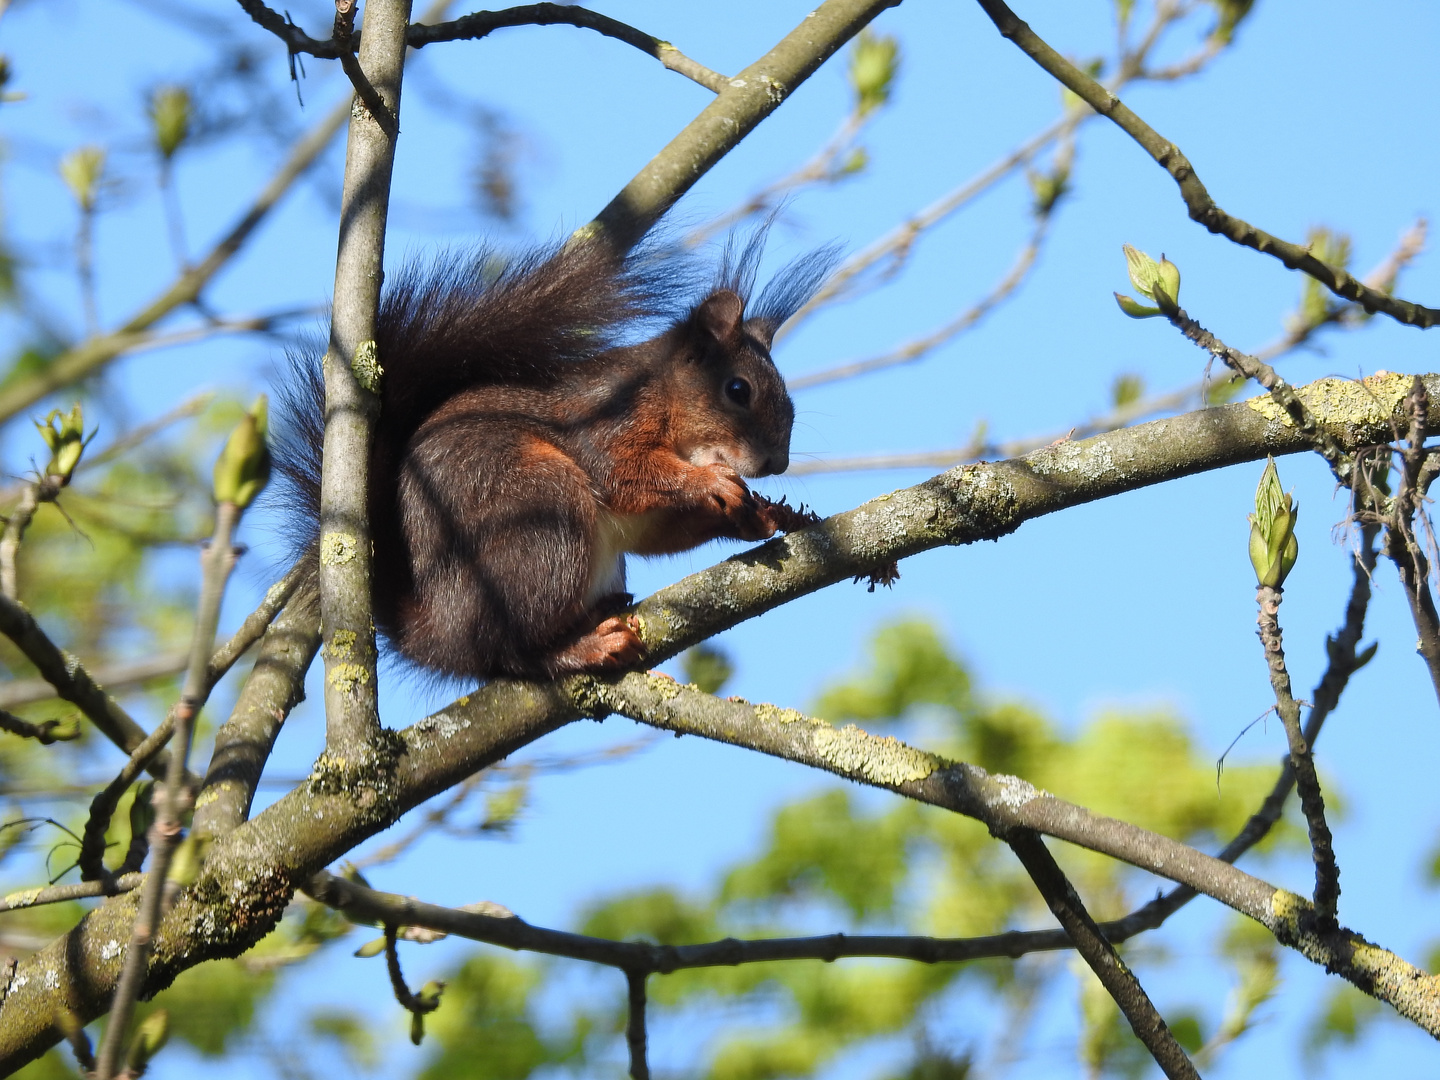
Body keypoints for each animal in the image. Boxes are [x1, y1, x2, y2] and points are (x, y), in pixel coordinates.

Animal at [272, 233, 835, 679]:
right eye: (737, 390)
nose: (776, 464)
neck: (666, 403)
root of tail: (437, 634)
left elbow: (657, 535)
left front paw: (765, 516)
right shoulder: (605, 421)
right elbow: (620, 473)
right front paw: (711, 483)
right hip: (541, 517)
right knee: (508, 654)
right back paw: (582, 648)